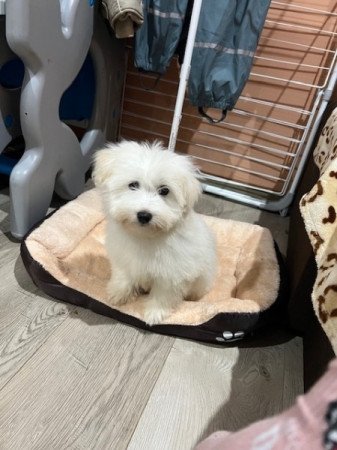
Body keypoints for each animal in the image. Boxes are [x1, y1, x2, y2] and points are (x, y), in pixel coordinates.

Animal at [92, 140, 215, 324]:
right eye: (133, 185)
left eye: (164, 190)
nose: (144, 215)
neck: (144, 236)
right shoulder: (123, 257)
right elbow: (123, 275)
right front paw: (118, 293)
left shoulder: (172, 273)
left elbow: (163, 295)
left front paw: (155, 313)